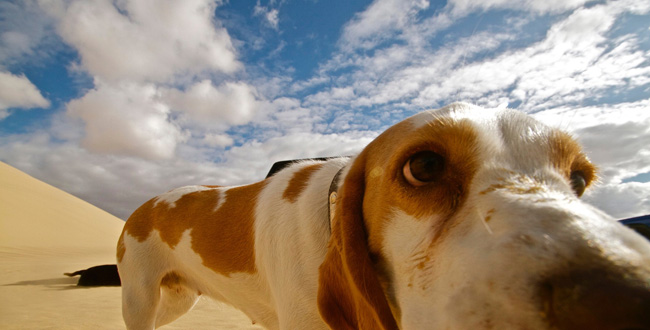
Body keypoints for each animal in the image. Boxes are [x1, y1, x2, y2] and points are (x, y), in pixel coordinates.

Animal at [116, 102, 648, 328]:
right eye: (424, 166)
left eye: (579, 180)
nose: (627, 303)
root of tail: (143, 205)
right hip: (140, 300)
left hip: (177, 302)